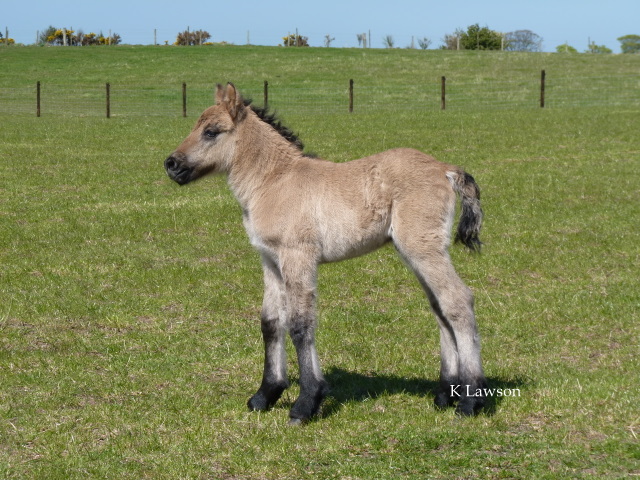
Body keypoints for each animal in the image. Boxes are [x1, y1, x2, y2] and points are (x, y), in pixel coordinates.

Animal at [164, 83, 487, 424]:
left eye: (211, 131)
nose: (171, 164)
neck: (274, 181)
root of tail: (446, 169)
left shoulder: (298, 255)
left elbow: (300, 323)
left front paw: (306, 402)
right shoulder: (270, 259)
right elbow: (270, 321)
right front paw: (265, 394)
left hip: (423, 248)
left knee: (458, 301)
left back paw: (470, 401)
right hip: (415, 252)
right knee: (440, 308)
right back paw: (445, 395)